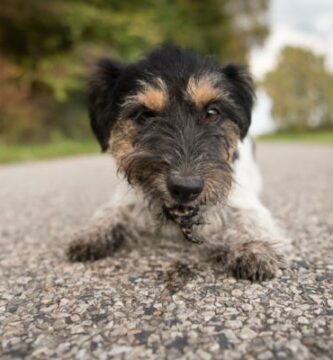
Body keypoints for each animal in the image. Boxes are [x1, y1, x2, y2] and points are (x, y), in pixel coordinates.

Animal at [66, 45, 290, 282]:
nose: (185, 188)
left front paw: (256, 248)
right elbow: (111, 211)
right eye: (145, 115)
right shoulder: (127, 198)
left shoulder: (245, 202)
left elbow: (250, 220)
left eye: (212, 112)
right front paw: (91, 233)